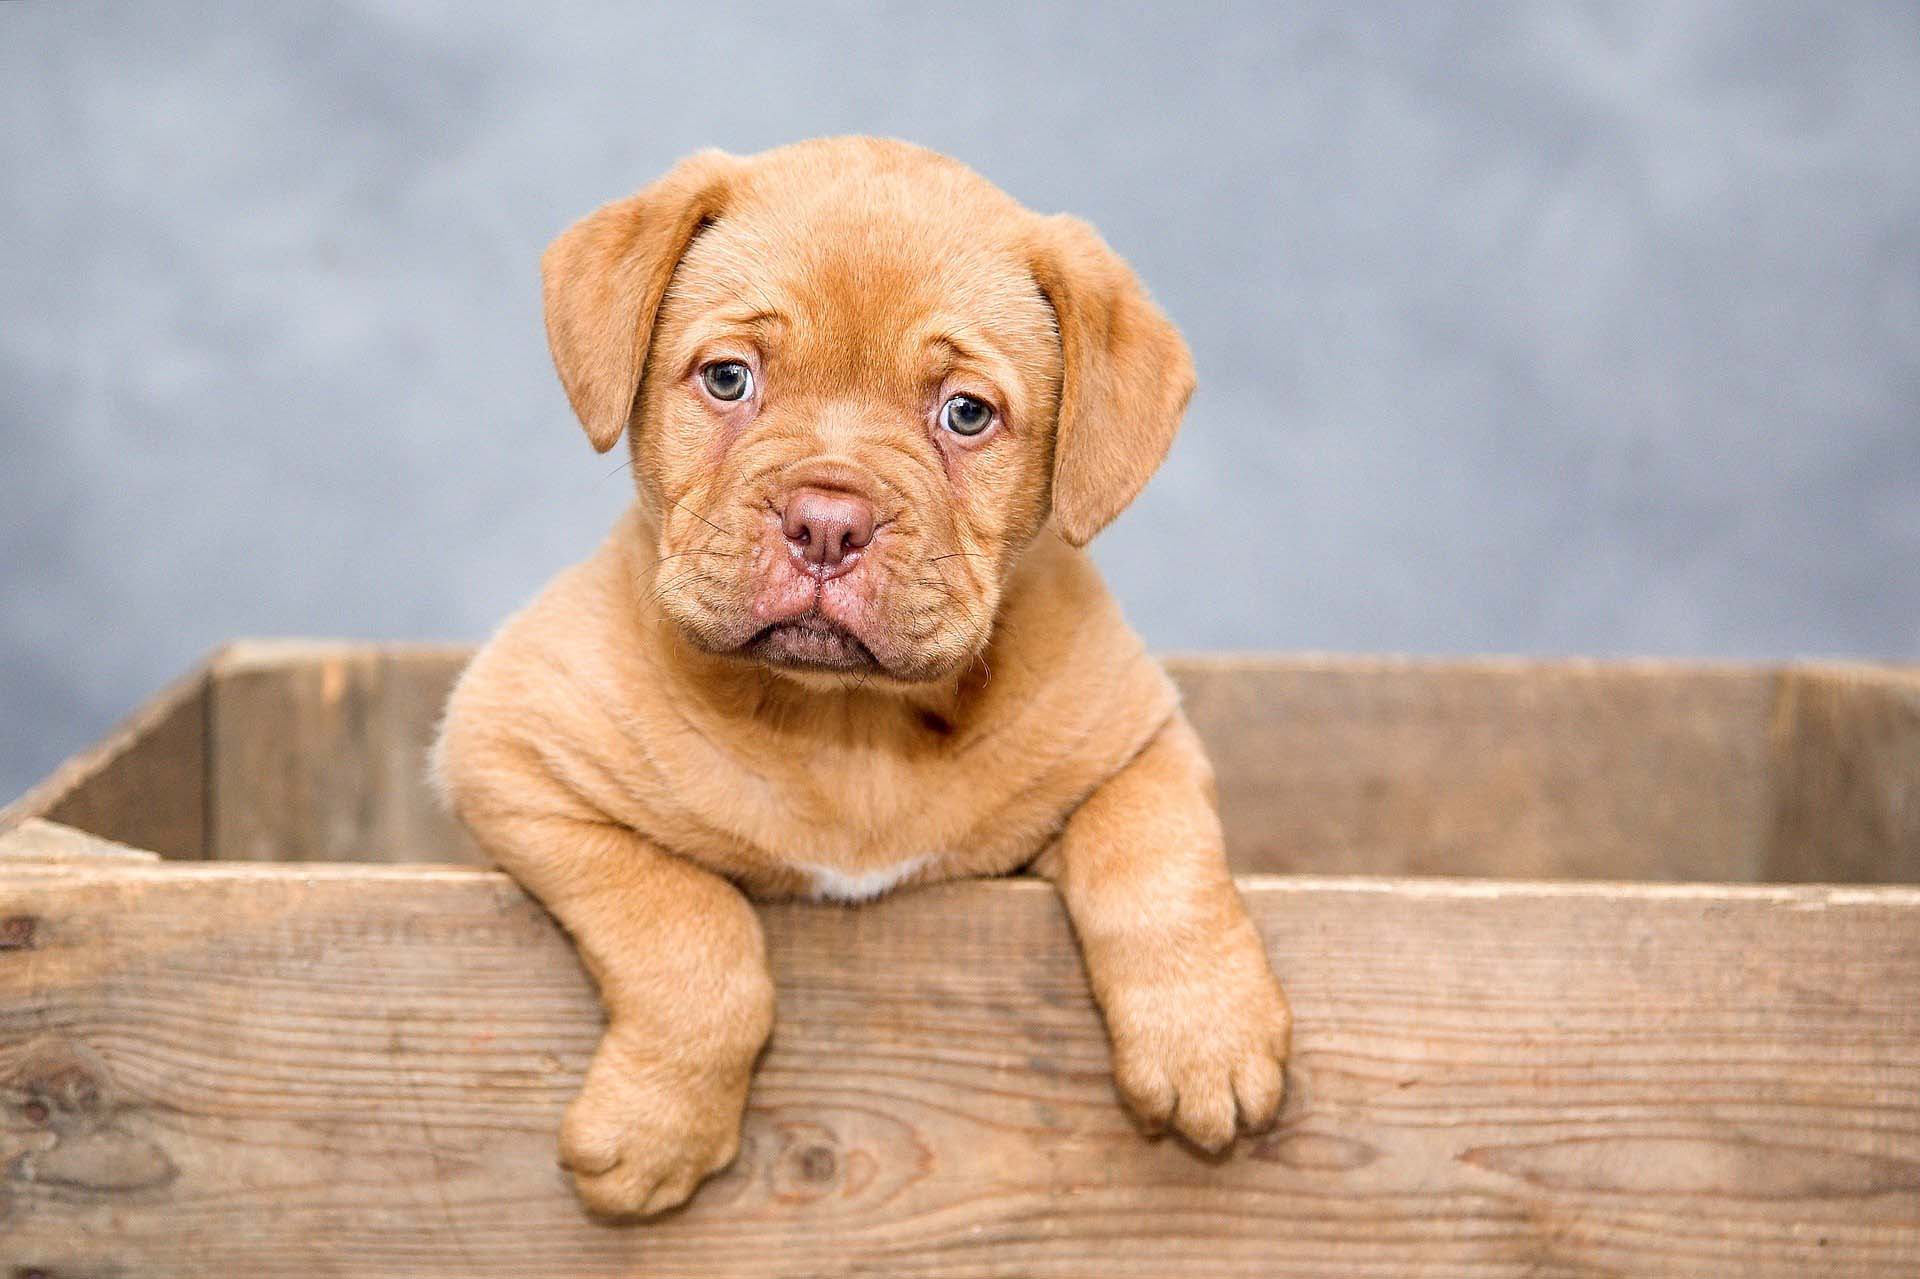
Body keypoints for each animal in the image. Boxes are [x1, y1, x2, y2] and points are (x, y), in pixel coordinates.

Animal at [435, 139, 1290, 1213]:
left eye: (966, 413)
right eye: (728, 379)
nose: (828, 522)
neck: (848, 726)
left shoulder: (1137, 738)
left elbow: (1158, 856)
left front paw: (1206, 1038)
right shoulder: (510, 750)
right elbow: (690, 928)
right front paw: (656, 1130)